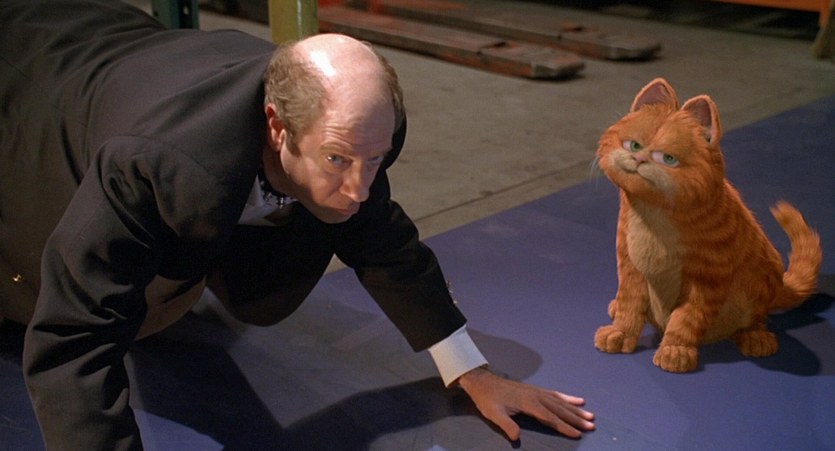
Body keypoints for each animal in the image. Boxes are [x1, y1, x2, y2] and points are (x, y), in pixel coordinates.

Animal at [593, 77, 822, 373]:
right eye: (633, 145)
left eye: (668, 159)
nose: (640, 159)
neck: (655, 220)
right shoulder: (631, 267)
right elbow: (630, 306)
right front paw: (619, 332)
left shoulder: (706, 280)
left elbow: (686, 319)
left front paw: (675, 351)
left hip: (759, 280)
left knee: (755, 319)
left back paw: (755, 338)